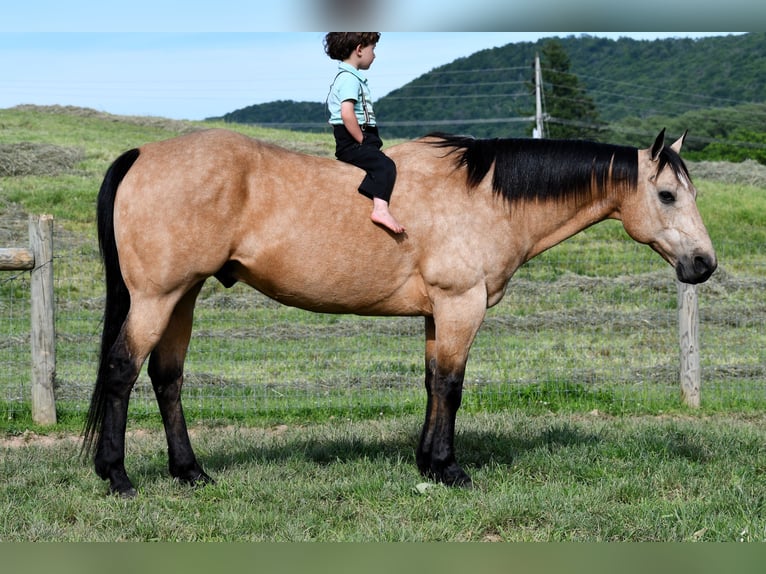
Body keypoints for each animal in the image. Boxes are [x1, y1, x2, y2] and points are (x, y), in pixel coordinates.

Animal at [81, 128, 716, 498]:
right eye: (667, 195)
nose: (703, 264)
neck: (483, 197)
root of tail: (143, 155)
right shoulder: (462, 304)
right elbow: (453, 387)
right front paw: (451, 469)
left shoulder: (439, 313)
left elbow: (433, 383)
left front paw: (428, 464)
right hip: (157, 297)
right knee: (121, 371)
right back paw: (117, 475)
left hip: (183, 297)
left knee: (167, 378)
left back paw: (190, 472)